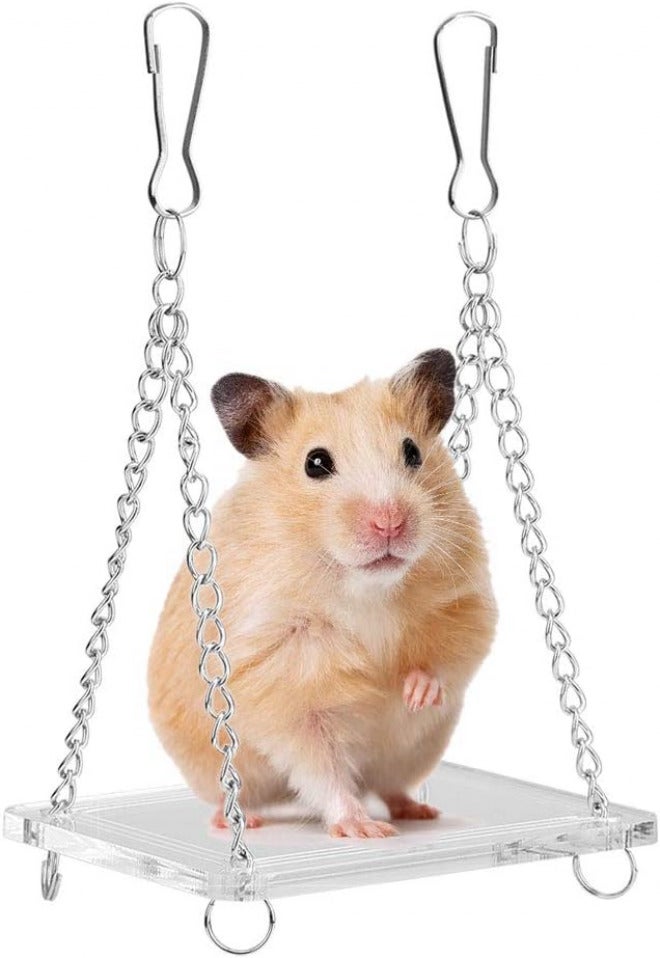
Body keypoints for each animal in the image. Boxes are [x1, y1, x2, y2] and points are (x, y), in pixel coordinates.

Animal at [148, 349, 497, 838]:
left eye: (412, 451)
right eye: (315, 463)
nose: (390, 522)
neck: (364, 587)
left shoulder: (466, 599)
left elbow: (449, 655)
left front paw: (414, 694)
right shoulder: (283, 677)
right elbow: (321, 764)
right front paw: (363, 830)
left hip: (412, 754)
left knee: (390, 786)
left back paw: (418, 810)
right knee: (236, 795)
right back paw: (240, 820)